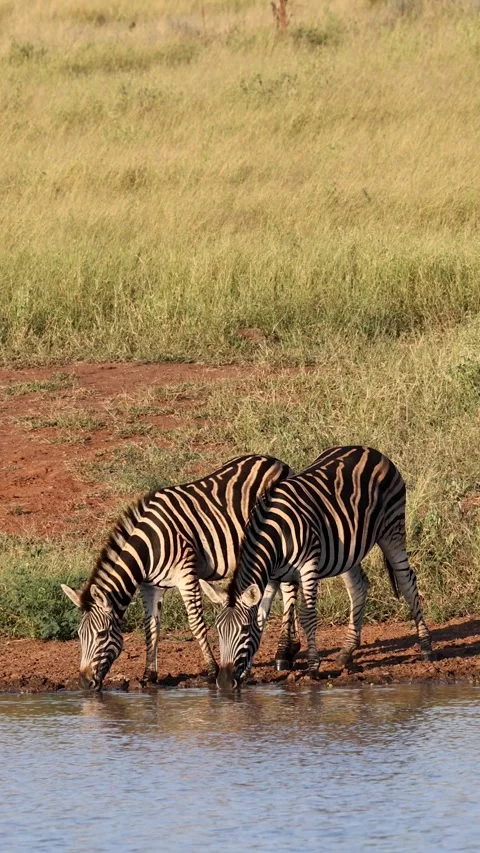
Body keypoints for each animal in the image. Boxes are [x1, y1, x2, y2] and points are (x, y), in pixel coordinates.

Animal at [61, 454, 302, 691]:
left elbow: (196, 623)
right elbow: (151, 627)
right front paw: (149, 675)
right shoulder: (150, 586)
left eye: (101, 634)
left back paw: (282, 654)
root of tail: (276, 461)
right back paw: (294, 646)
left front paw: (212, 670)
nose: (84, 683)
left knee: (288, 589)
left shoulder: (186, 574)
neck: (149, 546)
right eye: (79, 635)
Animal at [201, 446, 434, 690]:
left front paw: (313, 667)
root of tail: (371, 450)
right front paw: (246, 672)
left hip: (392, 530)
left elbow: (307, 615)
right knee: (358, 587)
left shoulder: (307, 566)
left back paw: (426, 647)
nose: (224, 682)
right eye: (218, 630)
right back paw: (346, 651)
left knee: (407, 582)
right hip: (348, 549)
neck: (273, 533)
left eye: (244, 629)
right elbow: (263, 616)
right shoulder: (276, 574)